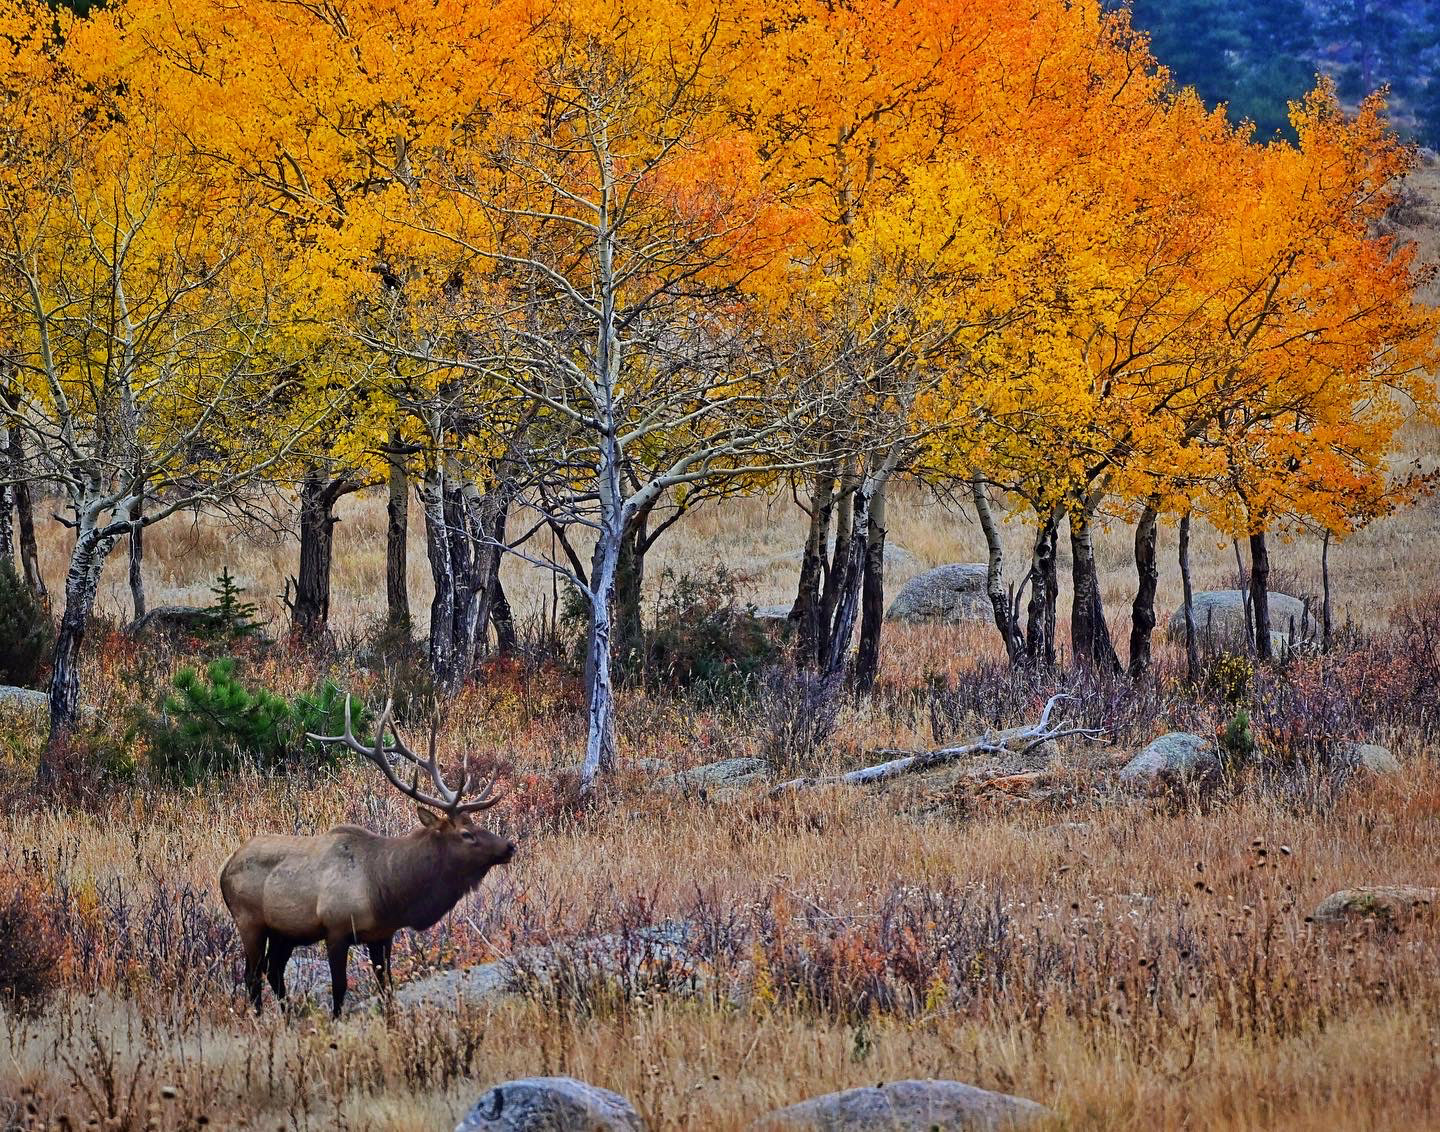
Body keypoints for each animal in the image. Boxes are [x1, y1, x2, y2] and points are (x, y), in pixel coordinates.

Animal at [219, 700, 515, 1017]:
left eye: (476, 824)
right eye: (466, 834)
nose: (510, 846)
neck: (387, 891)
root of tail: (225, 869)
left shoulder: (382, 934)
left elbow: (386, 985)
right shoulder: (335, 929)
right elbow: (339, 987)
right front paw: (335, 1021)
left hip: (284, 932)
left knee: (273, 971)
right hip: (249, 920)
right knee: (252, 975)